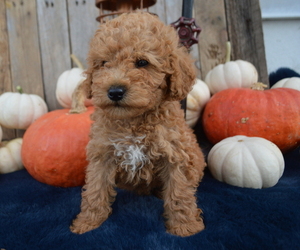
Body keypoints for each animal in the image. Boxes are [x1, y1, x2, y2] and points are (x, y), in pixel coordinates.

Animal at [70, 11, 206, 237]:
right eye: (104, 63)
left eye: (142, 62)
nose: (115, 91)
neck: (133, 121)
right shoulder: (102, 154)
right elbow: (95, 190)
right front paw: (88, 223)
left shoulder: (176, 154)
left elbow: (179, 192)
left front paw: (184, 227)